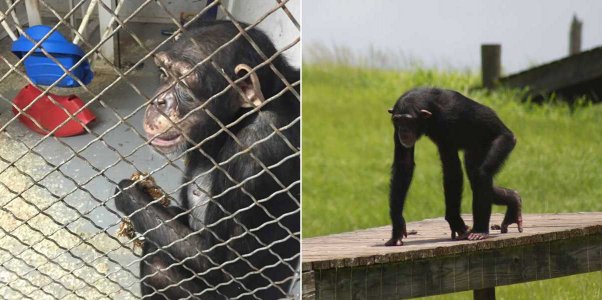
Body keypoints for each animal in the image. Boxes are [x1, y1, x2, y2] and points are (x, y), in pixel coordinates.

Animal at [112, 19, 298, 298]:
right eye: (164, 73)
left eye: (184, 84)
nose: (159, 102)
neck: (239, 120)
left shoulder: (257, 151)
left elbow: (220, 266)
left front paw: (130, 194)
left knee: (158, 268)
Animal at [384, 88, 520, 247]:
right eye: (398, 120)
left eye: (408, 120)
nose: (403, 130)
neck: (430, 111)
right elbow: (404, 163)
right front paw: (397, 227)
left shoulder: (446, 123)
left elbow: (452, 169)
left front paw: (455, 221)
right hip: (476, 149)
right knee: (475, 176)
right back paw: (513, 199)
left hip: (504, 140)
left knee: (481, 174)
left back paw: (480, 230)